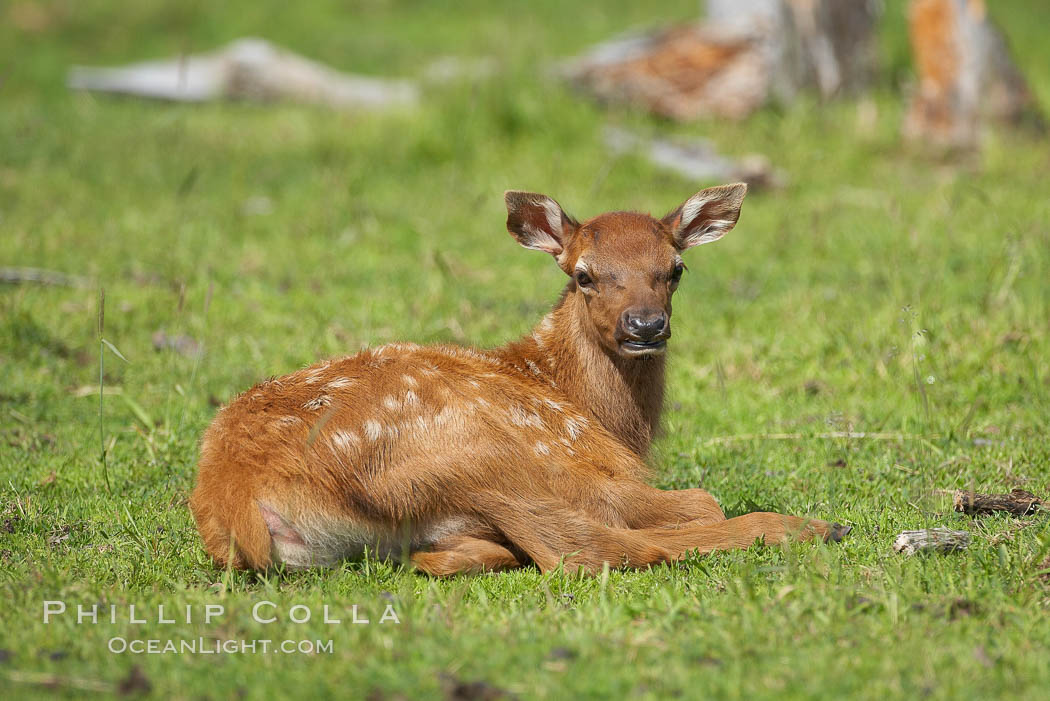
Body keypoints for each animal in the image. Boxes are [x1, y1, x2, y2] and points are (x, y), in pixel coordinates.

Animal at [188, 184, 848, 575]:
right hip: (482, 453)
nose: (645, 325)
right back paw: (813, 527)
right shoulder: (577, 461)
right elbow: (698, 499)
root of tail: (238, 500)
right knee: (586, 548)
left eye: (676, 269)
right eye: (584, 274)